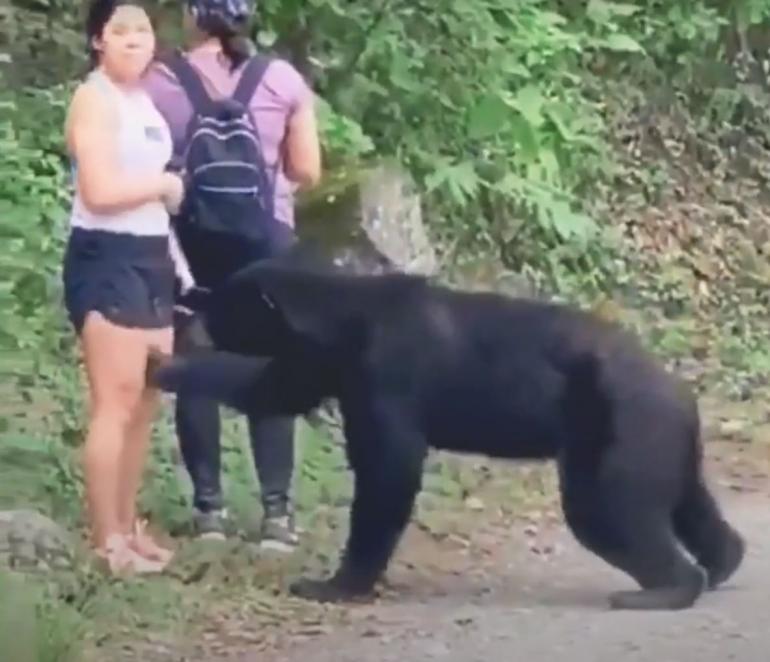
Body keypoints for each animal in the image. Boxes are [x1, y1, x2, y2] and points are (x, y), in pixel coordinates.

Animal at [150, 254, 744, 612]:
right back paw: (722, 562)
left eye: (226, 302)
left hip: (622, 432)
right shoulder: (323, 366)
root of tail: (683, 392)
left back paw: (661, 589)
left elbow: (389, 471)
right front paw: (162, 366)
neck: (341, 324)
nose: (191, 308)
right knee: (691, 506)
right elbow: (271, 390)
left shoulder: (385, 375)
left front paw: (332, 584)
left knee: (610, 510)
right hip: (661, 442)